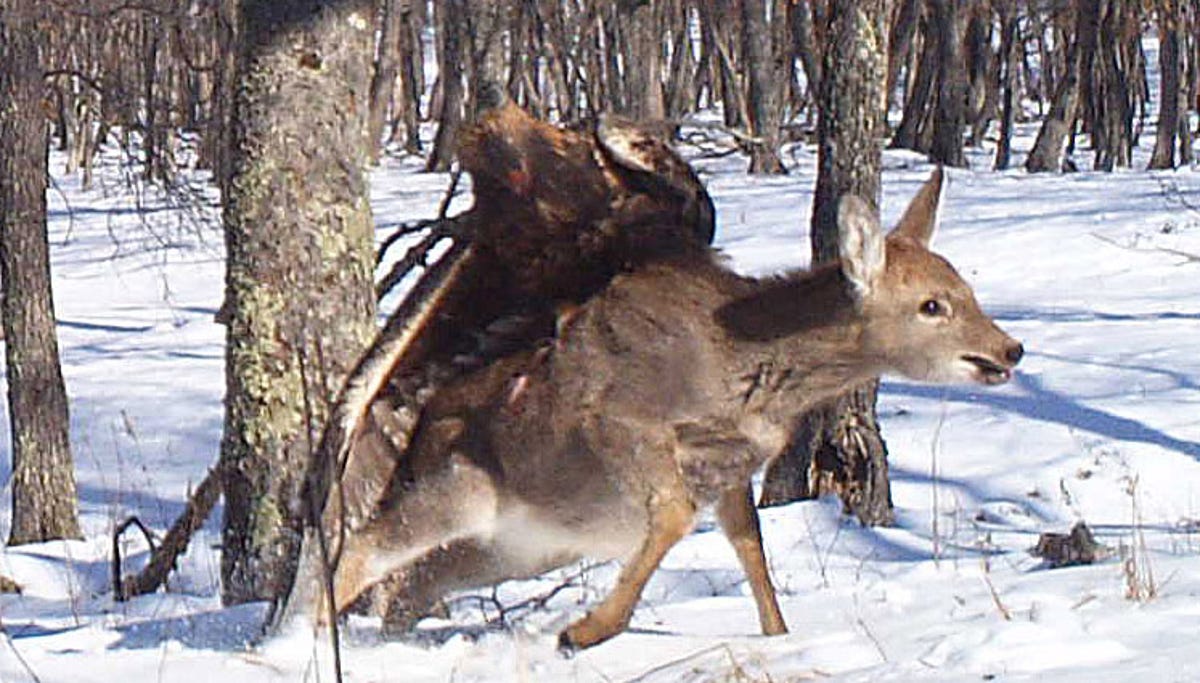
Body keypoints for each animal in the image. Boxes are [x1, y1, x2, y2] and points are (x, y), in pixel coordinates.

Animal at [277, 168, 1023, 652]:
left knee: (409, 590)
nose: (1008, 349)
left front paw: (779, 635)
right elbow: (671, 516)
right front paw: (586, 630)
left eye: (963, 286)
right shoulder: (618, 420)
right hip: (461, 488)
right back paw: (299, 642)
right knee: (363, 548)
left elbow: (749, 546)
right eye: (932, 304)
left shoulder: (730, 467)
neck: (741, 368)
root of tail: (417, 432)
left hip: (519, 546)